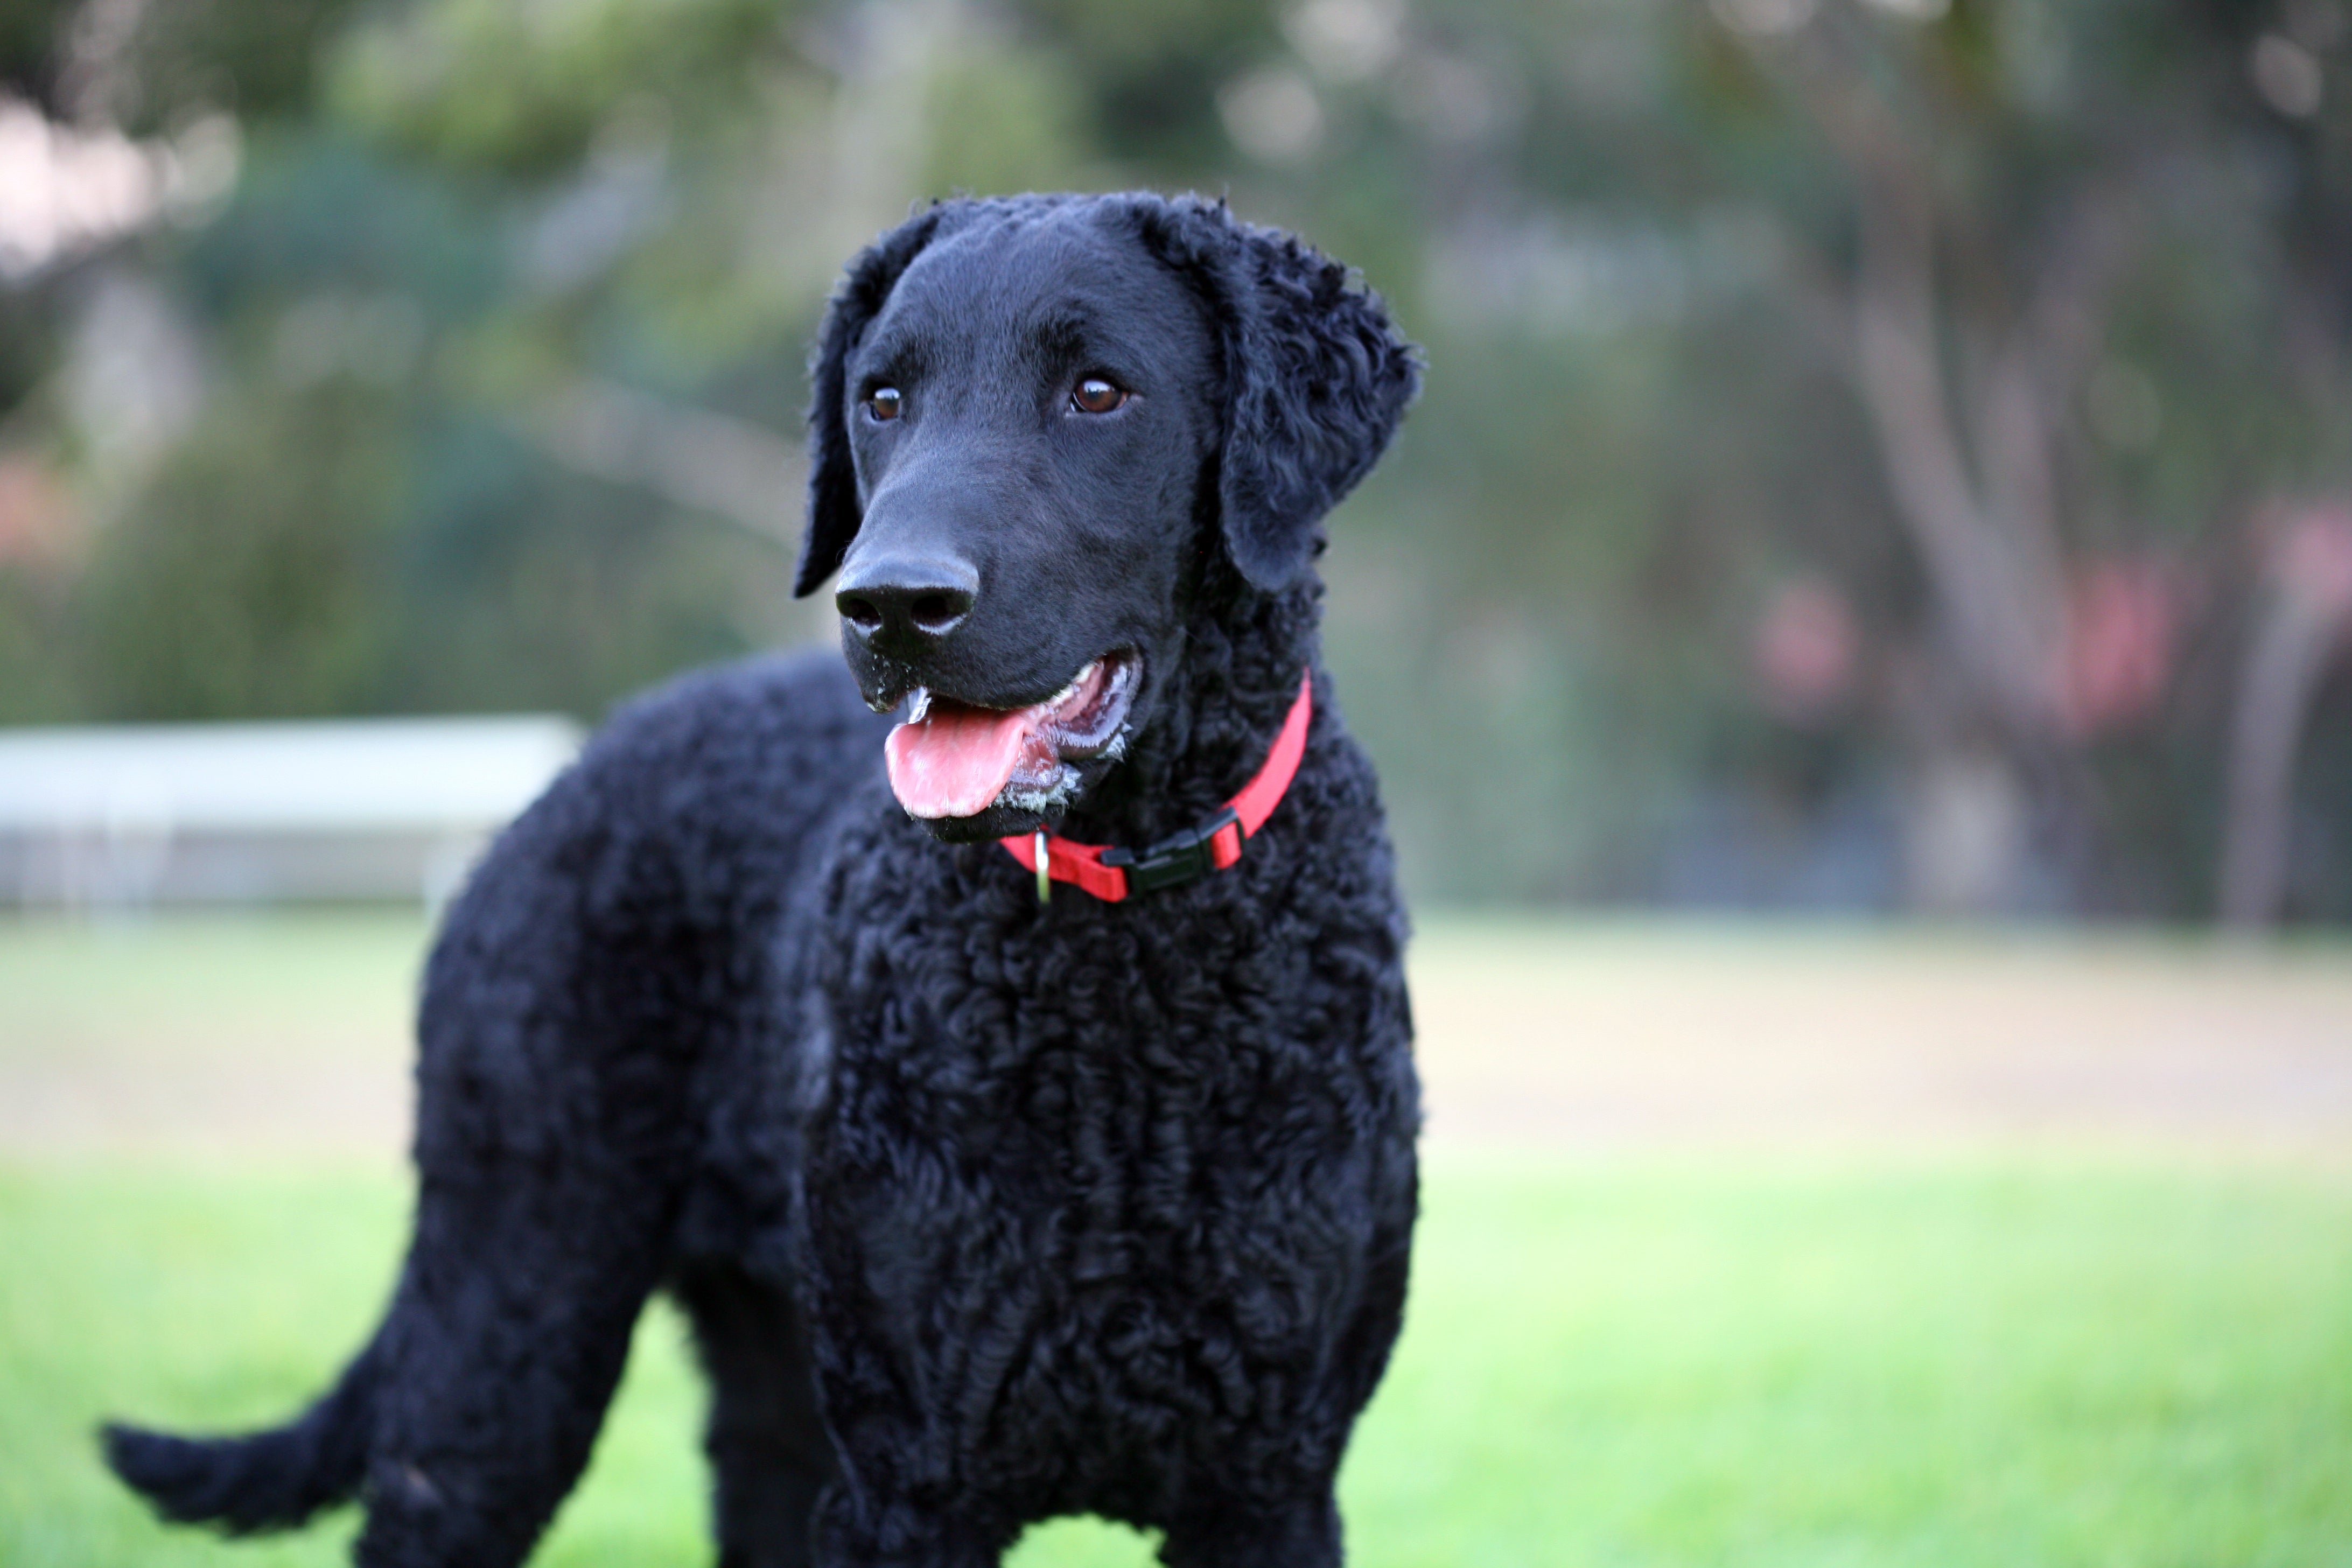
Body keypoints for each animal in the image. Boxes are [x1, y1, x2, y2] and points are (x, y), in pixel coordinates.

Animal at [106, 192, 1411, 1568]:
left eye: (1099, 391)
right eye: (883, 399)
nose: (892, 603)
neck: (1122, 1008)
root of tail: (570, 777)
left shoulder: (1269, 1481)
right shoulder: (911, 1479)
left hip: (770, 1392)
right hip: (508, 1316)